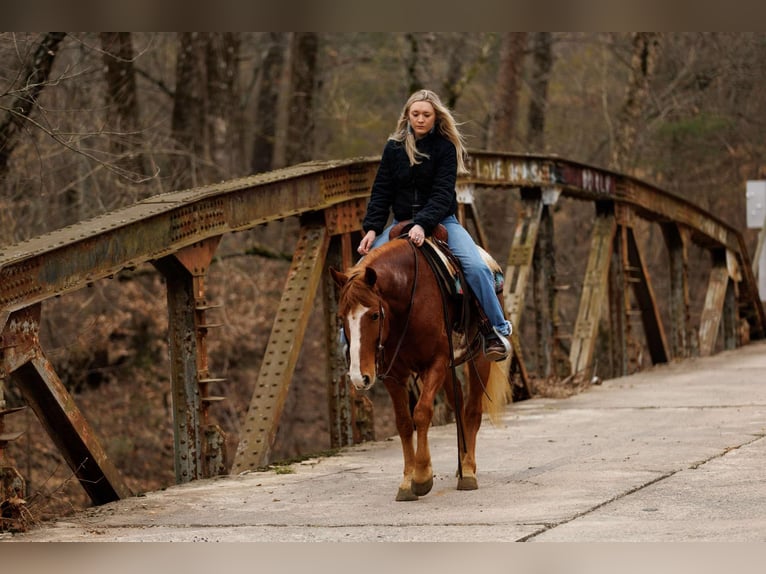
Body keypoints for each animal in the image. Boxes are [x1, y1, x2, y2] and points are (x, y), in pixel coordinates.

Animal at [330, 236, 510, 502]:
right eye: (342, 317)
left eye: (374, 315)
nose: (358, 377)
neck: (407, 299)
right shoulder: (394, 374)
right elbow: (405, 422)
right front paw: (407, 481)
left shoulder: (435, 362)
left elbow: (422, 412)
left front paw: (423, 475)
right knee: (457, 402)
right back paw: (461, 463)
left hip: (480, 359)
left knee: (472, 411)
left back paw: (468, 470)